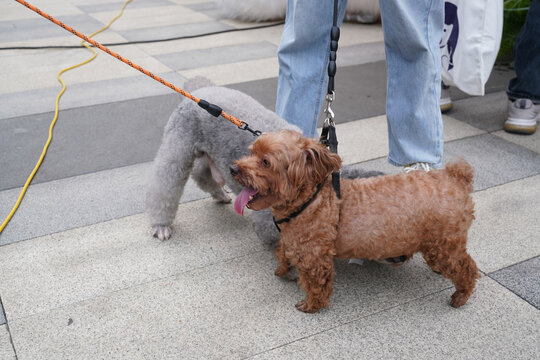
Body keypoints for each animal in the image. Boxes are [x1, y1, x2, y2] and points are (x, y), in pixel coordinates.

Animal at [143, 76, 380, 245]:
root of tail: (200, 90)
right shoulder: (269, 218)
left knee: (202, 174)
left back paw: (219, 193)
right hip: (178, 143)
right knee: (166, 182)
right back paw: (161, 225)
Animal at [232, 129, 480, 312]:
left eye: (265, 162)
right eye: (251, 153)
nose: (233, 168)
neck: (312, 200)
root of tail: (456, 178)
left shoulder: (315, 256)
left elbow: (316, 283)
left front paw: (311, 305)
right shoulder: (293, 240)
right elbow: (282, 252)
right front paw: (282, 270)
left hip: (442, 246)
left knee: (467, 268)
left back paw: (460, 296)